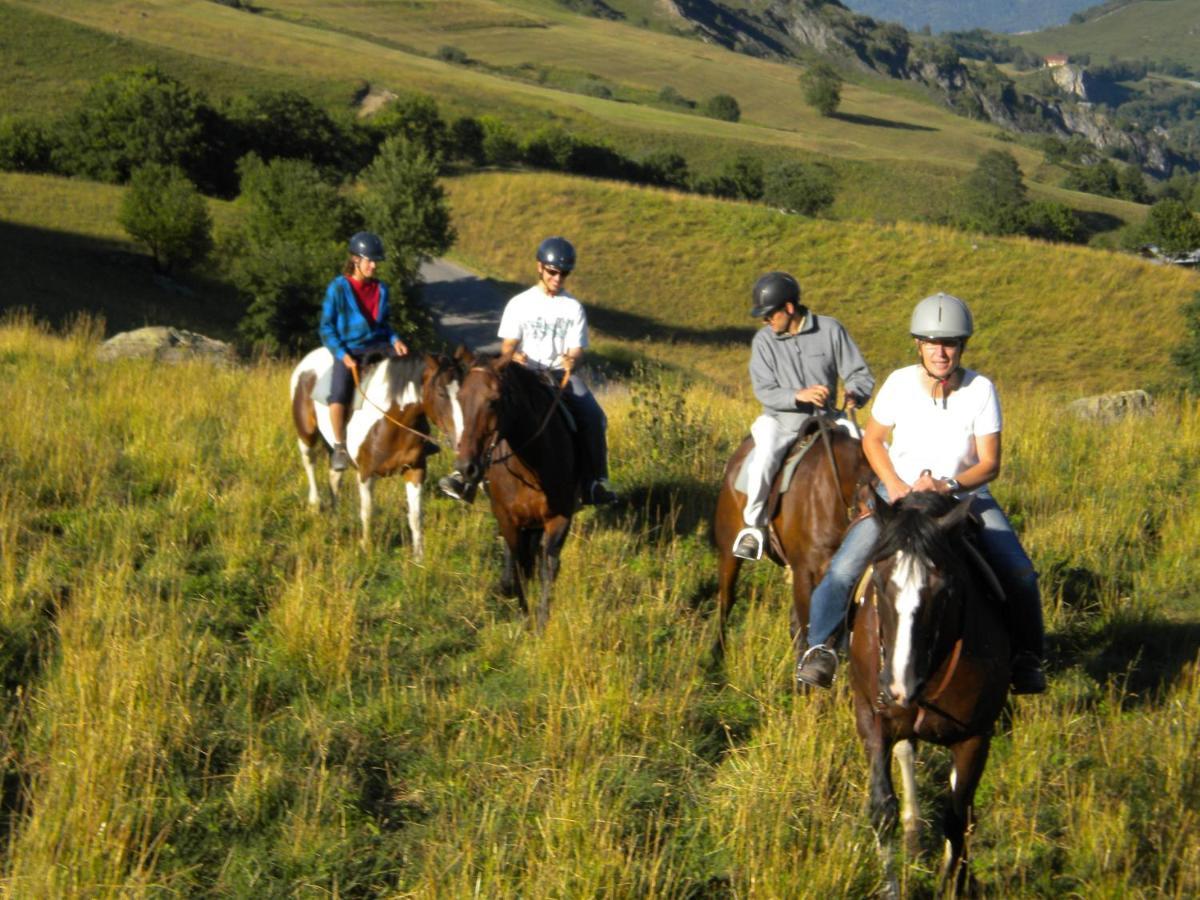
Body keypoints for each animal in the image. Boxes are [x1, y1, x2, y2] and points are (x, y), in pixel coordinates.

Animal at [288, 348, 460, 561]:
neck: (391, 419)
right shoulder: (366, 473)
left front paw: (419, 557)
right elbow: (367, 511)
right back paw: (314, 504)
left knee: (334, 476)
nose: (459, 437)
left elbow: (415, 515)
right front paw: (366, 549)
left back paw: (335, 517)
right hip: (306, 434)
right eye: (441, 393)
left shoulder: (415, 469)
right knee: (309, 462)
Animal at [451, 355, 578, 633]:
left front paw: (541, 621)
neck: (531, 465)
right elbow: (518, 565)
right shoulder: (506, 519)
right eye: (460, 399)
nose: (466, 468)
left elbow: (548, 565)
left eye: (493, 401)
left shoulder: (559, 517)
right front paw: (523, 615)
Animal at [844, 489, 1012, 897]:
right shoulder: (872, 717)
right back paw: (913, 832)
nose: (898, 686)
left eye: (944, 589)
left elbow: (957, 818)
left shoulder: (975, 736)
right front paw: (892, 886)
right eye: (880, 583)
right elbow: (882, 809)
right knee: (906, 753)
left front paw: (951, 884)